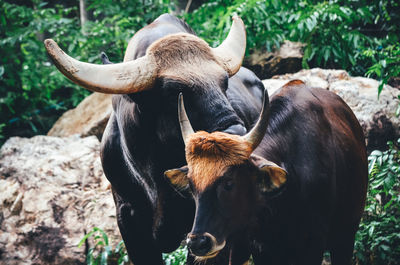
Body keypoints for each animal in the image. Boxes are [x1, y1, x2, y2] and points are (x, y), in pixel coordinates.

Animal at [166, 80, 368, 264]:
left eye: (229, 183)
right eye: (192, 185)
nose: (198, 242)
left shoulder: (314, 245)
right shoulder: (260, 248)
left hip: (346, 236)